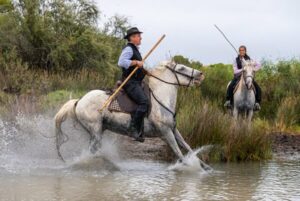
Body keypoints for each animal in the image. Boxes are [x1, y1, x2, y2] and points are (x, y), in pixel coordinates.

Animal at [54, 60, 204, 163]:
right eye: (181, 68)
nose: (200, 74)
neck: (161, 99)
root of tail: (79, 101)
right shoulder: (166, 132)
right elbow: (178, 152)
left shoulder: (173, 129)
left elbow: (187, 146)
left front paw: (204, 166)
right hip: (95, 130)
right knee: (92, 151)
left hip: (99, 130)